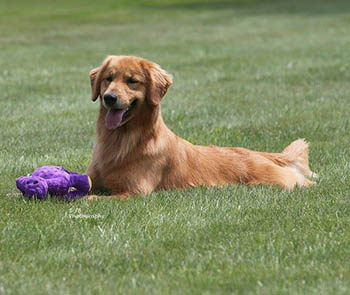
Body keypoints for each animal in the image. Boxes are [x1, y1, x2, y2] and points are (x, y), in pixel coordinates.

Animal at [86, 55, 316, 199]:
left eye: (132, 81)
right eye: (108, 79)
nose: (109, 98)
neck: (121, 140)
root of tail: (259, 153)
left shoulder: (135, 192)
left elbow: (92, 199)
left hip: (274, 181)